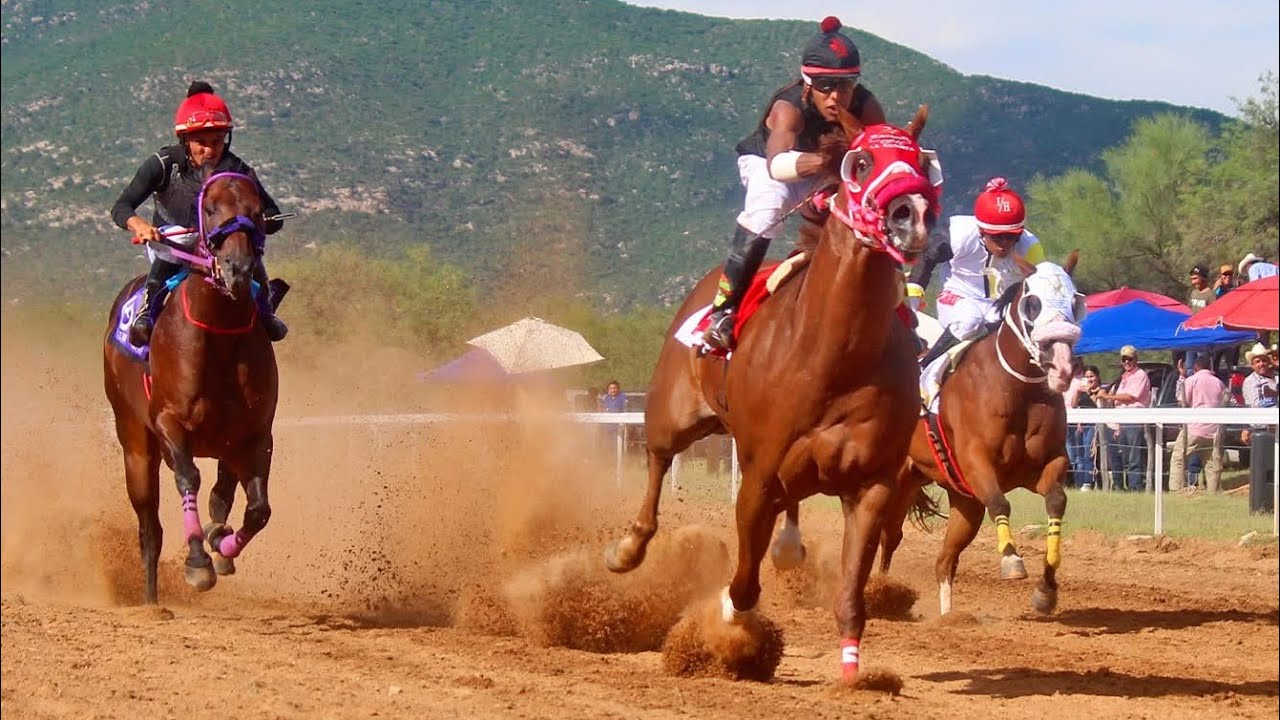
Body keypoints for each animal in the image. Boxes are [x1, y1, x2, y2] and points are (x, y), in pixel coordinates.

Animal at [103, 172, 280, 604]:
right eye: (211, 208)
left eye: (257, 211)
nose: (238, 269)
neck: (218, 337)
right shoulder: (170, 423)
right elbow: (189, 480)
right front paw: (198, 561)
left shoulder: (256, 434)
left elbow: (258, 509)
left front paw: (222, 546)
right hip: (135, 443)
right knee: (149, 528)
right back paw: (151, 600)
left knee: (223, 492)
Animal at [604, 105, 942, 683]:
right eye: (861, 161)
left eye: (920, 161)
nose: (911, 215)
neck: (837, 353)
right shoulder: (758, 475)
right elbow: (743, 583)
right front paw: (728, 635)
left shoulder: (872, 483)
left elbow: (852, 595)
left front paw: (855, 676)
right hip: (672, 413)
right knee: (658, 459)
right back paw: (630, 547)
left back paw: (788, 546)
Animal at [776, 257, 1085, 617]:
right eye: (1032, 303)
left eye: (1075, 302)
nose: (1062, 366)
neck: (1018, 390)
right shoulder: (976, 460)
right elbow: (1000, 501)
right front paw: (1011, 560)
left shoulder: (1046, 463)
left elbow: (1056, 500)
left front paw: (1046, 589)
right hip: (899, 481)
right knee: (886, 535)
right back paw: (880, 590)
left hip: (961, 500)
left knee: (940, 559)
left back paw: (945, 616)